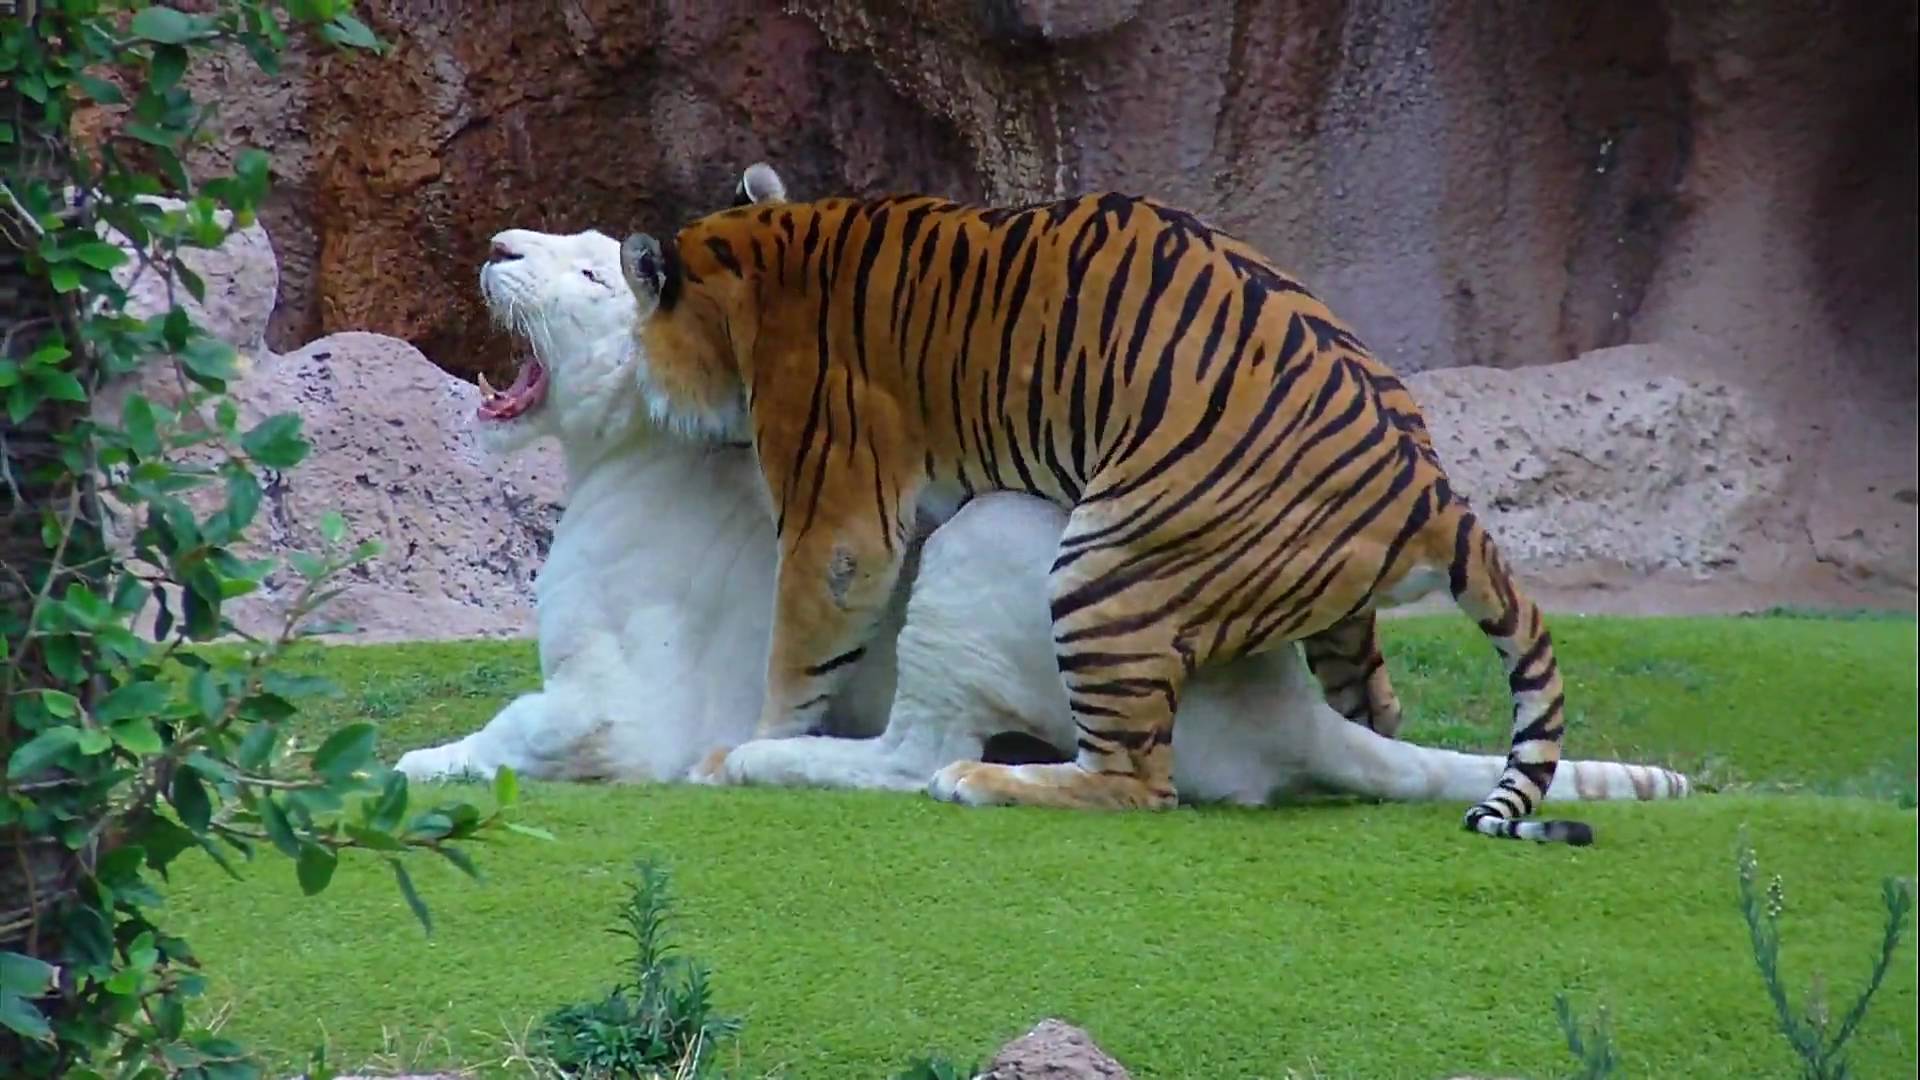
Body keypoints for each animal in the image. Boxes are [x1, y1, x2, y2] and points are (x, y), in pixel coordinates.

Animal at [622, 164, 1597, 845]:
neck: (756, 255)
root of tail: (1432, 491)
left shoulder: (839, 511)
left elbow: (799, 648)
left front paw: (743, 742)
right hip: (1310, 609)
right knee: (1368, 707)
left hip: (1104, 569)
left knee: (1137, 783)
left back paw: (985, 782)